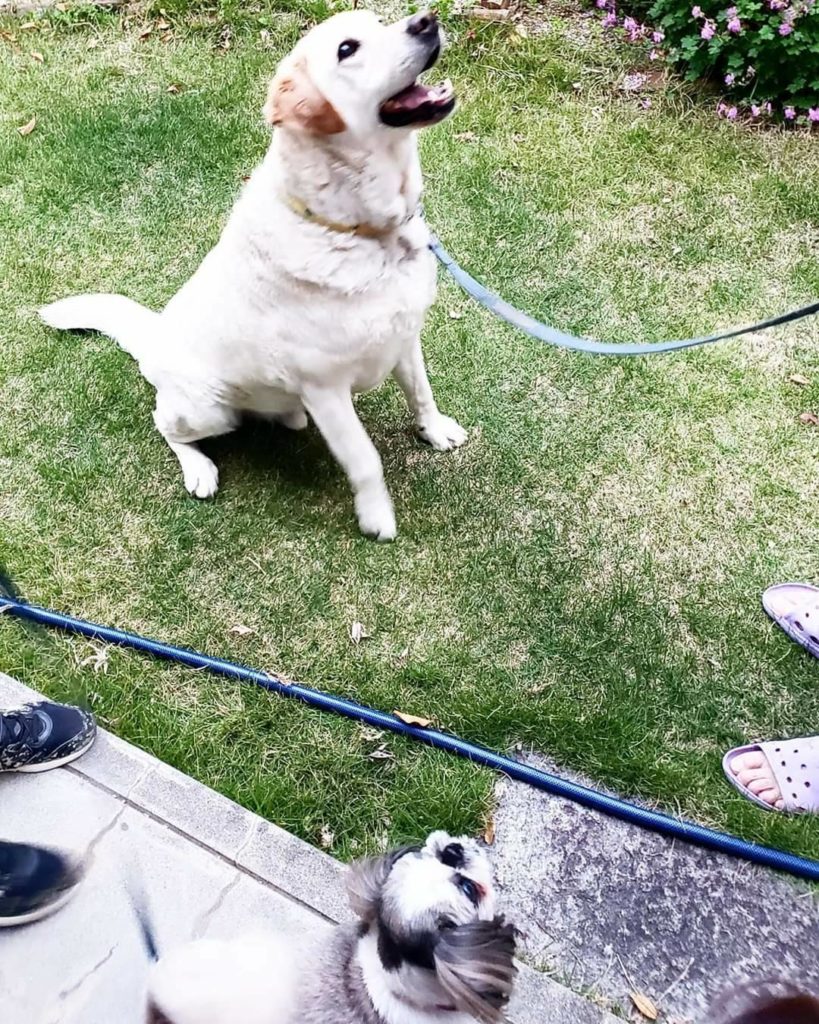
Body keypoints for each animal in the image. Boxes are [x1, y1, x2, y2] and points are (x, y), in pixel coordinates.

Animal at [40, 10, 467, 541]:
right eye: (347, 49)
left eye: (379, 21)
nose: (426, 20)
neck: (364, 230)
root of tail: (154, 334)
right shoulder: (325, 389)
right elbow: (365, 458)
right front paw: (376, 516)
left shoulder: (405, 336)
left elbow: (421, 392)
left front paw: (435, 429)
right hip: (206, 407)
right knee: (163, 424)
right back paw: (199, 468)